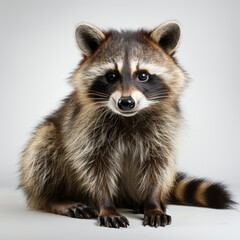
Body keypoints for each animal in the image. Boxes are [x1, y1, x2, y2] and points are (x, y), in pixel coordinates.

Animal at [19, 21, 234, 228]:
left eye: (143, 75)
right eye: (111, 76)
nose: (126, 102)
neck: (129, 116)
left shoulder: (164, 127)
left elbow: (158, 164)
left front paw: (153, 203)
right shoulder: (86, 128)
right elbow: (94, 166)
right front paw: (105, 204)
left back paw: (145, 202)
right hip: (50, 145)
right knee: (44, 149)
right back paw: (55, 199)